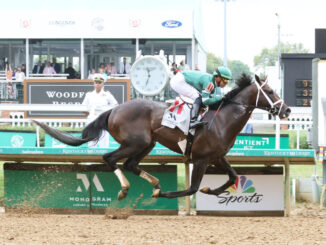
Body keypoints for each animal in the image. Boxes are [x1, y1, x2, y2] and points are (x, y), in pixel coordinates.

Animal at [34, 74, 292, 201]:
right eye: (270, 92)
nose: (287, 110)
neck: (222, 119)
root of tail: (114, 109)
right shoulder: (201, 159)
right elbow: (191, 188)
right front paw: (168, 194)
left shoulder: (217, 156)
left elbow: (233, 177)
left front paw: (211, 190)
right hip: (135, 142)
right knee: (110, 158)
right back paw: (127, 189)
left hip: (147, 143)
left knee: (130, 164)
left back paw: (155, 184)